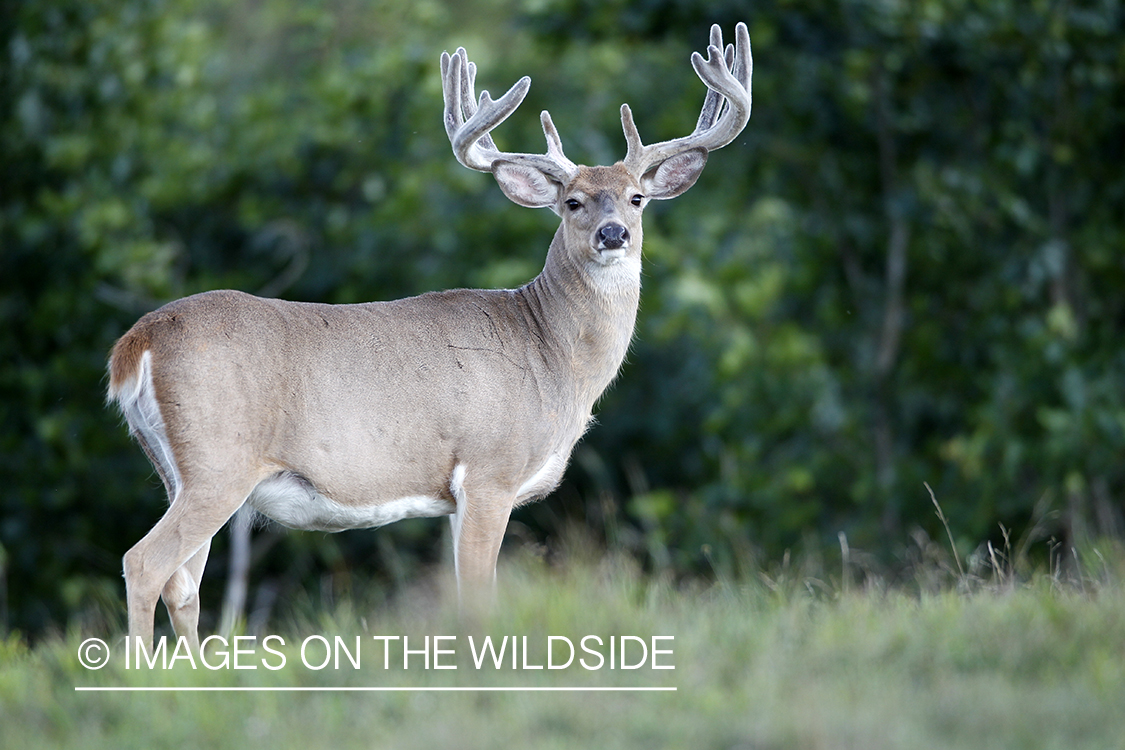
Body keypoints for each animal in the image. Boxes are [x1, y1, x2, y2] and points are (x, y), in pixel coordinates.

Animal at [107, 20, 756, 647]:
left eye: (637, 197)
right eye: (572, 202)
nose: (613, 233)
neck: (552, 355)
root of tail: (137, 343)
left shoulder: (453, 497)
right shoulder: (491, 470)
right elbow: (478, 598)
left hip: (176, 468)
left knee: (184, 582)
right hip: (219, 460)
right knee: (145, 562)